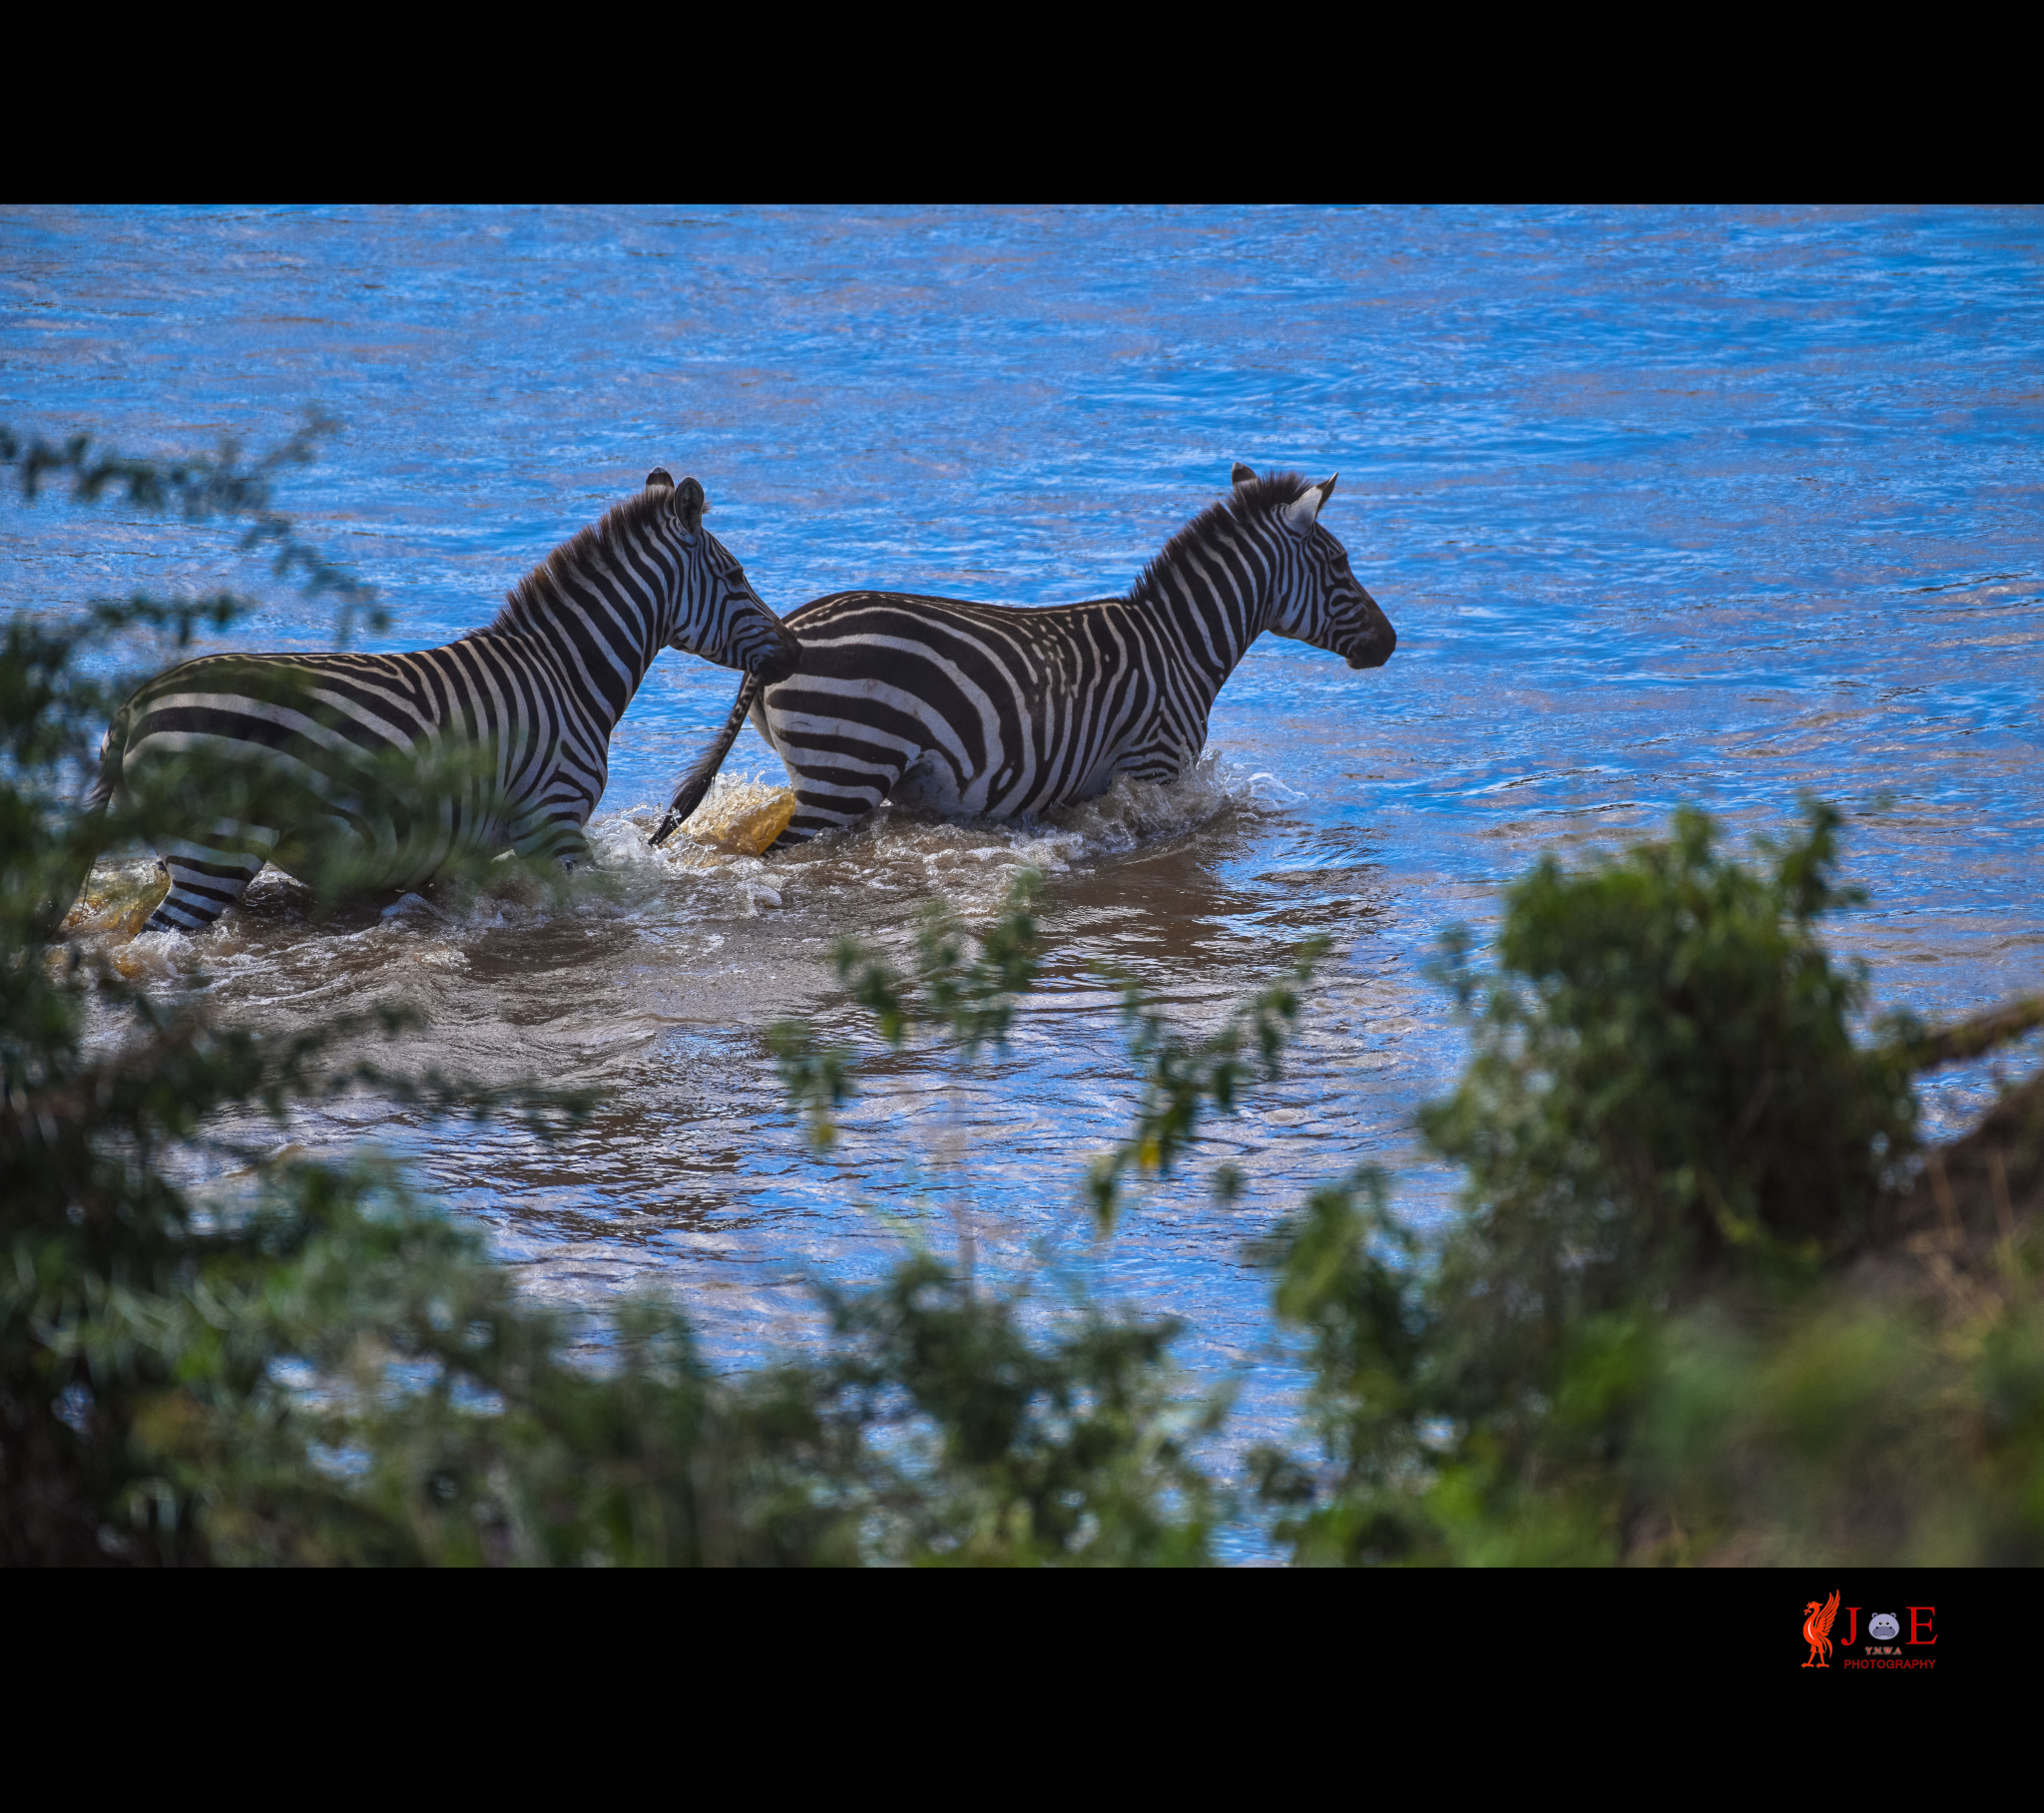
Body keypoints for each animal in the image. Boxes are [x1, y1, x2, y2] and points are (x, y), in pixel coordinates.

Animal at [88, 468, 804, 936]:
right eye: (736, 576)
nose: (795, 649)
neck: (567, 673)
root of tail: (134, 706)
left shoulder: (458, 848)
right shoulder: (555, 823)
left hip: (181, 851)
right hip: (218, 849)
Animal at [650, 459, 1389, 841]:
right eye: (1341, 564)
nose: (1390, 642)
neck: (1180, 642)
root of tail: (787, 630)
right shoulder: (1154, 771)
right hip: (846, 769)